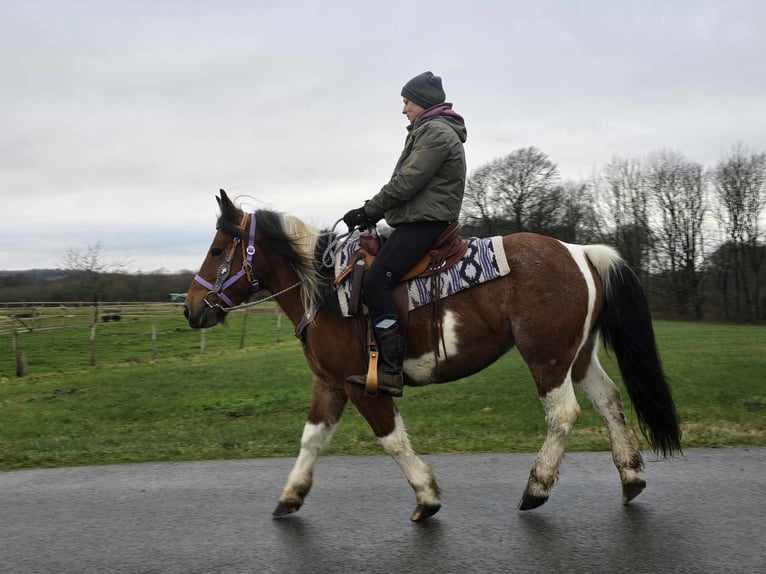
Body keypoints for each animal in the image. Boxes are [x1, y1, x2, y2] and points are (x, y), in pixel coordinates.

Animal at [184, 191, 684, 524]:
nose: (190, 309)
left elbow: (392, 441)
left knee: (563, 414)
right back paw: (631, 477)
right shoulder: (328, 384)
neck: (324, 290)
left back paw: (536, 488)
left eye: (217, 249)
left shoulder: (360, 385)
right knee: (609, 400)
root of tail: (580, 251)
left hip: (547, 357)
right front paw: (290, 497)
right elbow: (312, 440)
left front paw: (426, 498)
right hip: (576, 356)